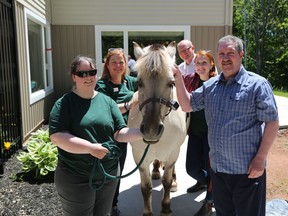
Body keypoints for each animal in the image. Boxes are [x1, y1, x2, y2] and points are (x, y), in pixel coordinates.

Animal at [127, 41, 188, 215]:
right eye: (139, 82)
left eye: (171, 83)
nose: (151, 130)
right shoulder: (139, 156)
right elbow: (145, 188)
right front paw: (148, 212)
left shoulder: (174, 152)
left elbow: (166, 180)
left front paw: (166, 207)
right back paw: (155, 170)